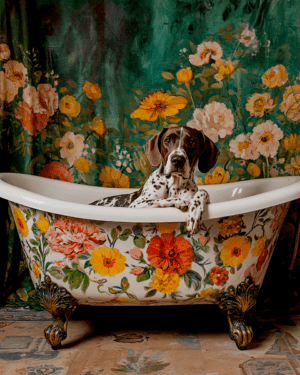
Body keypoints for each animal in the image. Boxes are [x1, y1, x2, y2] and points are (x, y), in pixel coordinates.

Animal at [90, 126, 219, 235]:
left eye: (192, 142)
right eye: (167, 140)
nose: (177, 160)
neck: (175, 185)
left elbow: (203, 192)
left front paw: (195, 212)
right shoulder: (136, 204)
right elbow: (162, 199)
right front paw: (182, 201)